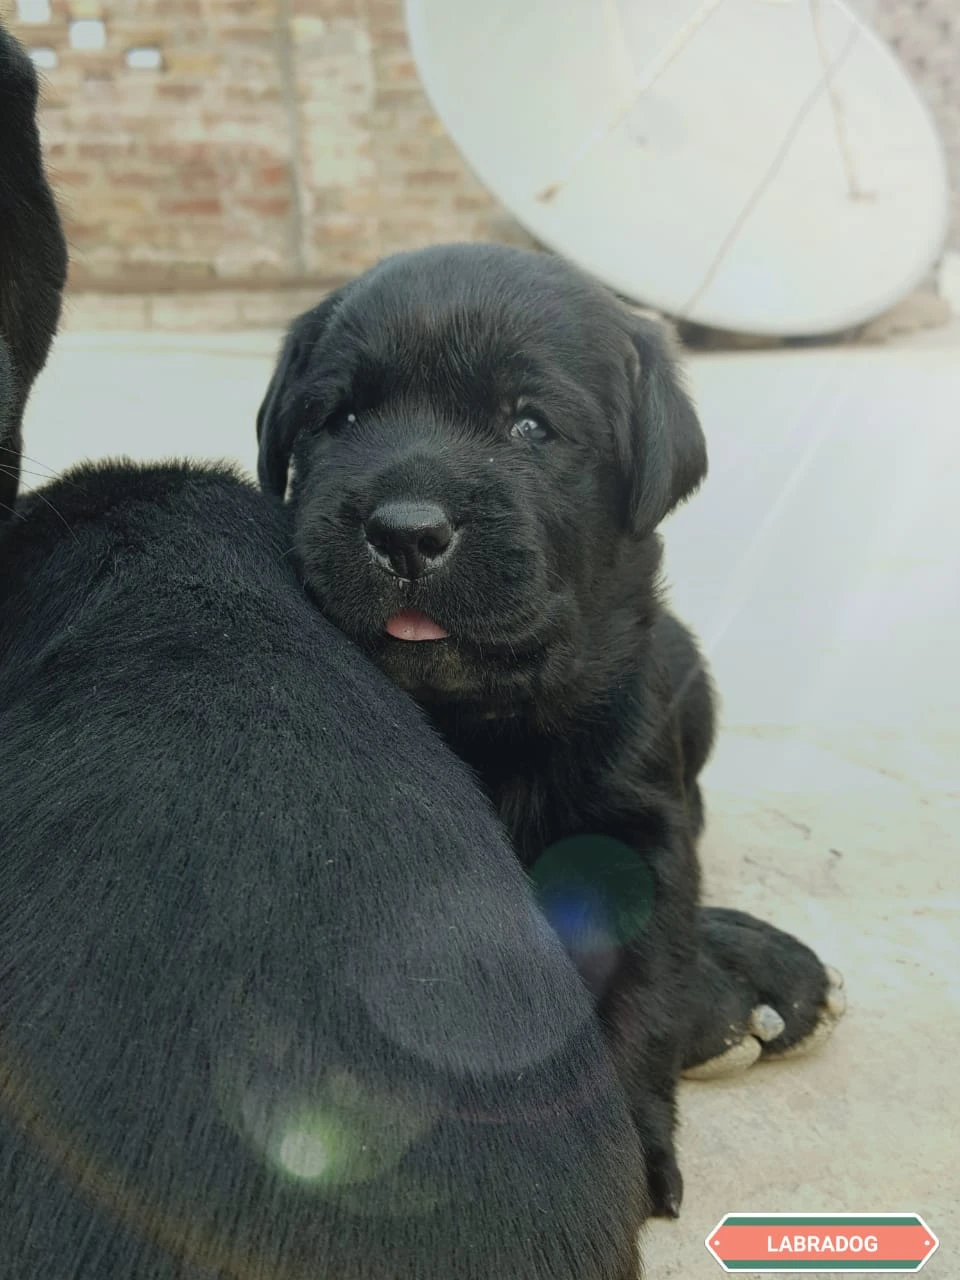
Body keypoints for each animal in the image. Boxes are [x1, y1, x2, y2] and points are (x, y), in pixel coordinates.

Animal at [257, 241, 849, 1218]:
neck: (484, 717)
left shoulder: (635, 827)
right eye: (338, 418)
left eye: (530, 425)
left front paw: (624, 1148)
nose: (405, 531)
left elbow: (635, 987)